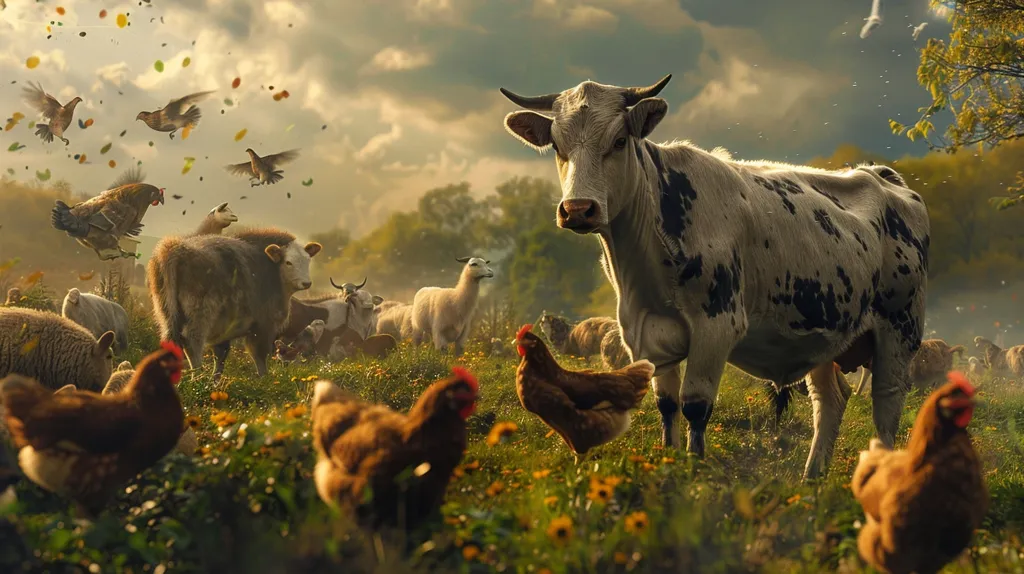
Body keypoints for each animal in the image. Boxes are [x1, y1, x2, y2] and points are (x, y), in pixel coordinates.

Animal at [147, 227, 321, 380]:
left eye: (307, 260)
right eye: (288, 262)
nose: (306, 283)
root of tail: (177, 248)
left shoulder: (224, 329)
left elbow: (220, 355)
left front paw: (215, 381)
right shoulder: (263, 327)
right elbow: (260, 355)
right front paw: (264, 379)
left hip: (167, 313)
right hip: (201, 314)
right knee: (192, 341)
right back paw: (197, 375)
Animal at [499, 75, 930, 479]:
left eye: (619, 140)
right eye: (557, 146)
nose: (577, 209)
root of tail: (880, 175)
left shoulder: (716, 326)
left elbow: (695, 405)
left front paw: (695, 468)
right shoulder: (646, 331)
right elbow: (667, 404)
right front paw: (671, 462)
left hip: (899, 330)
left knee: (887, 404)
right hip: (825, 331)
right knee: (830, 401)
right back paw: (811, 478)